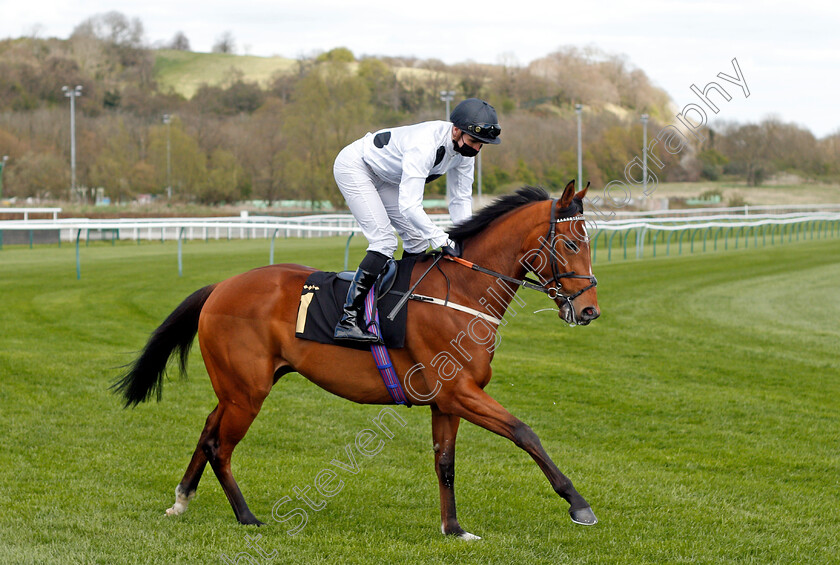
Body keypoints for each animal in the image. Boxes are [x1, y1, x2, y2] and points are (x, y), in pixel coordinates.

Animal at [116, 181, 604, 536]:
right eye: (571, 244)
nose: (588, 311)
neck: (462, 294)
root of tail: (220, 286)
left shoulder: (446, 402)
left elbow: (445, 464)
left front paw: (453, 528)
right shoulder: (459, 392)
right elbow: (525, 433)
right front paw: (579, 505)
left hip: (238, 387)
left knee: (207, 430)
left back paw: (182, 499)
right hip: (247, 391)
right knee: (220, 446)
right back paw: (247, 516)